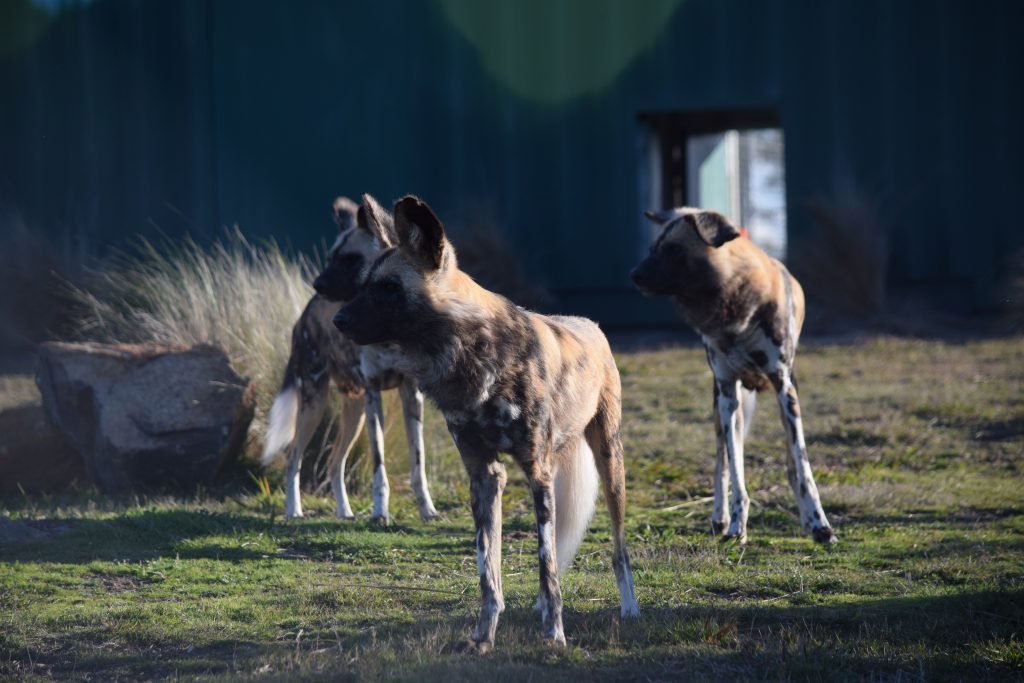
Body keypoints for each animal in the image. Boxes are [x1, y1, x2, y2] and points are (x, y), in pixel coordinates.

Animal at [260, 196, 436, 524]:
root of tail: (304, 316)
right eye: (330, 257)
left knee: (334, 462)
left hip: (354, 412)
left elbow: (418, 463)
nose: (317, 284)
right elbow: (380, 467)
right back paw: (294, 510)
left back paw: (344, 511)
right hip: (314, 404)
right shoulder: (374, 394)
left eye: (350, 259)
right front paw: (380, 511)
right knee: (293, 457)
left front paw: (427, 510)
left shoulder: (411, 395)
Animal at [333, 193, 638, 651]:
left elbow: (545, 565)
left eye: (388, 287)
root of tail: (591, 324)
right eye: (364, 282)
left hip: (608, 459)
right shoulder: (484, 473)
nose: (338, 320)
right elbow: (487, 570)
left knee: (616, 548)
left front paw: (554, 634)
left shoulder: (537, 472)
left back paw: (629, 609)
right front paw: (483, 634)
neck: (471, 353)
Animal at [626, 206, 835, 544]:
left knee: (791, 460)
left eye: (674, 249)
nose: (634, 275)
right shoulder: (728, 393)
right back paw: (720, 518)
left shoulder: (784, 389)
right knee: (721, 461)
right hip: (721, 409)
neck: (736, 307)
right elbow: (736, 471)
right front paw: (737, 525)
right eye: (652, 248)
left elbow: (801, 465)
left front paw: (819, 523)